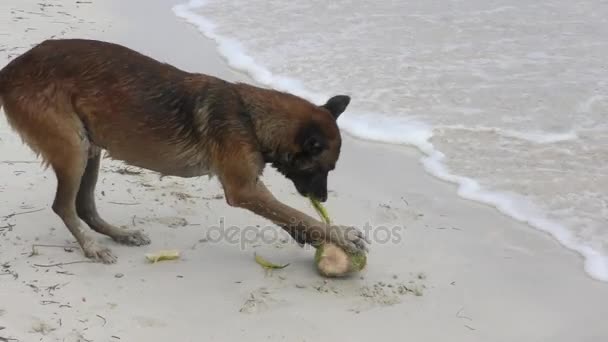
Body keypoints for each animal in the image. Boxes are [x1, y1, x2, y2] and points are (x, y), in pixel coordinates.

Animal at [0, 38, 366, 264]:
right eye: (323, 169)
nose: (323, 198)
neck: (250, 116)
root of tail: (11, 69)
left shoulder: (252, 190)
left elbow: (288, 215)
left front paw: (315, 237)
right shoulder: (244, 190)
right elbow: (297, 213)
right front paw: (341, 236)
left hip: (91, 148)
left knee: (83, 205)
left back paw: (119, 235)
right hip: (74, 149)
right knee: (64, 206)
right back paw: (91, 248)